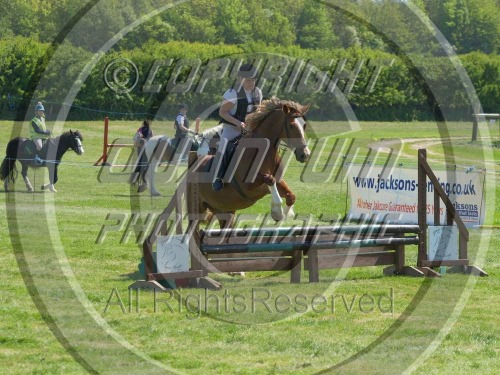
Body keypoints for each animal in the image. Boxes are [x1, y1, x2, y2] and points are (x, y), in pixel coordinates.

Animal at [190, 98, 308, 228]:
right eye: (291, 126)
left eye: (304, 125)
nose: (305, 155)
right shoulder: (247, 185)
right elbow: (270, 179)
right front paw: (277, 212)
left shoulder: (278, 180)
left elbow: (291, 197)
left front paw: (283, 216)